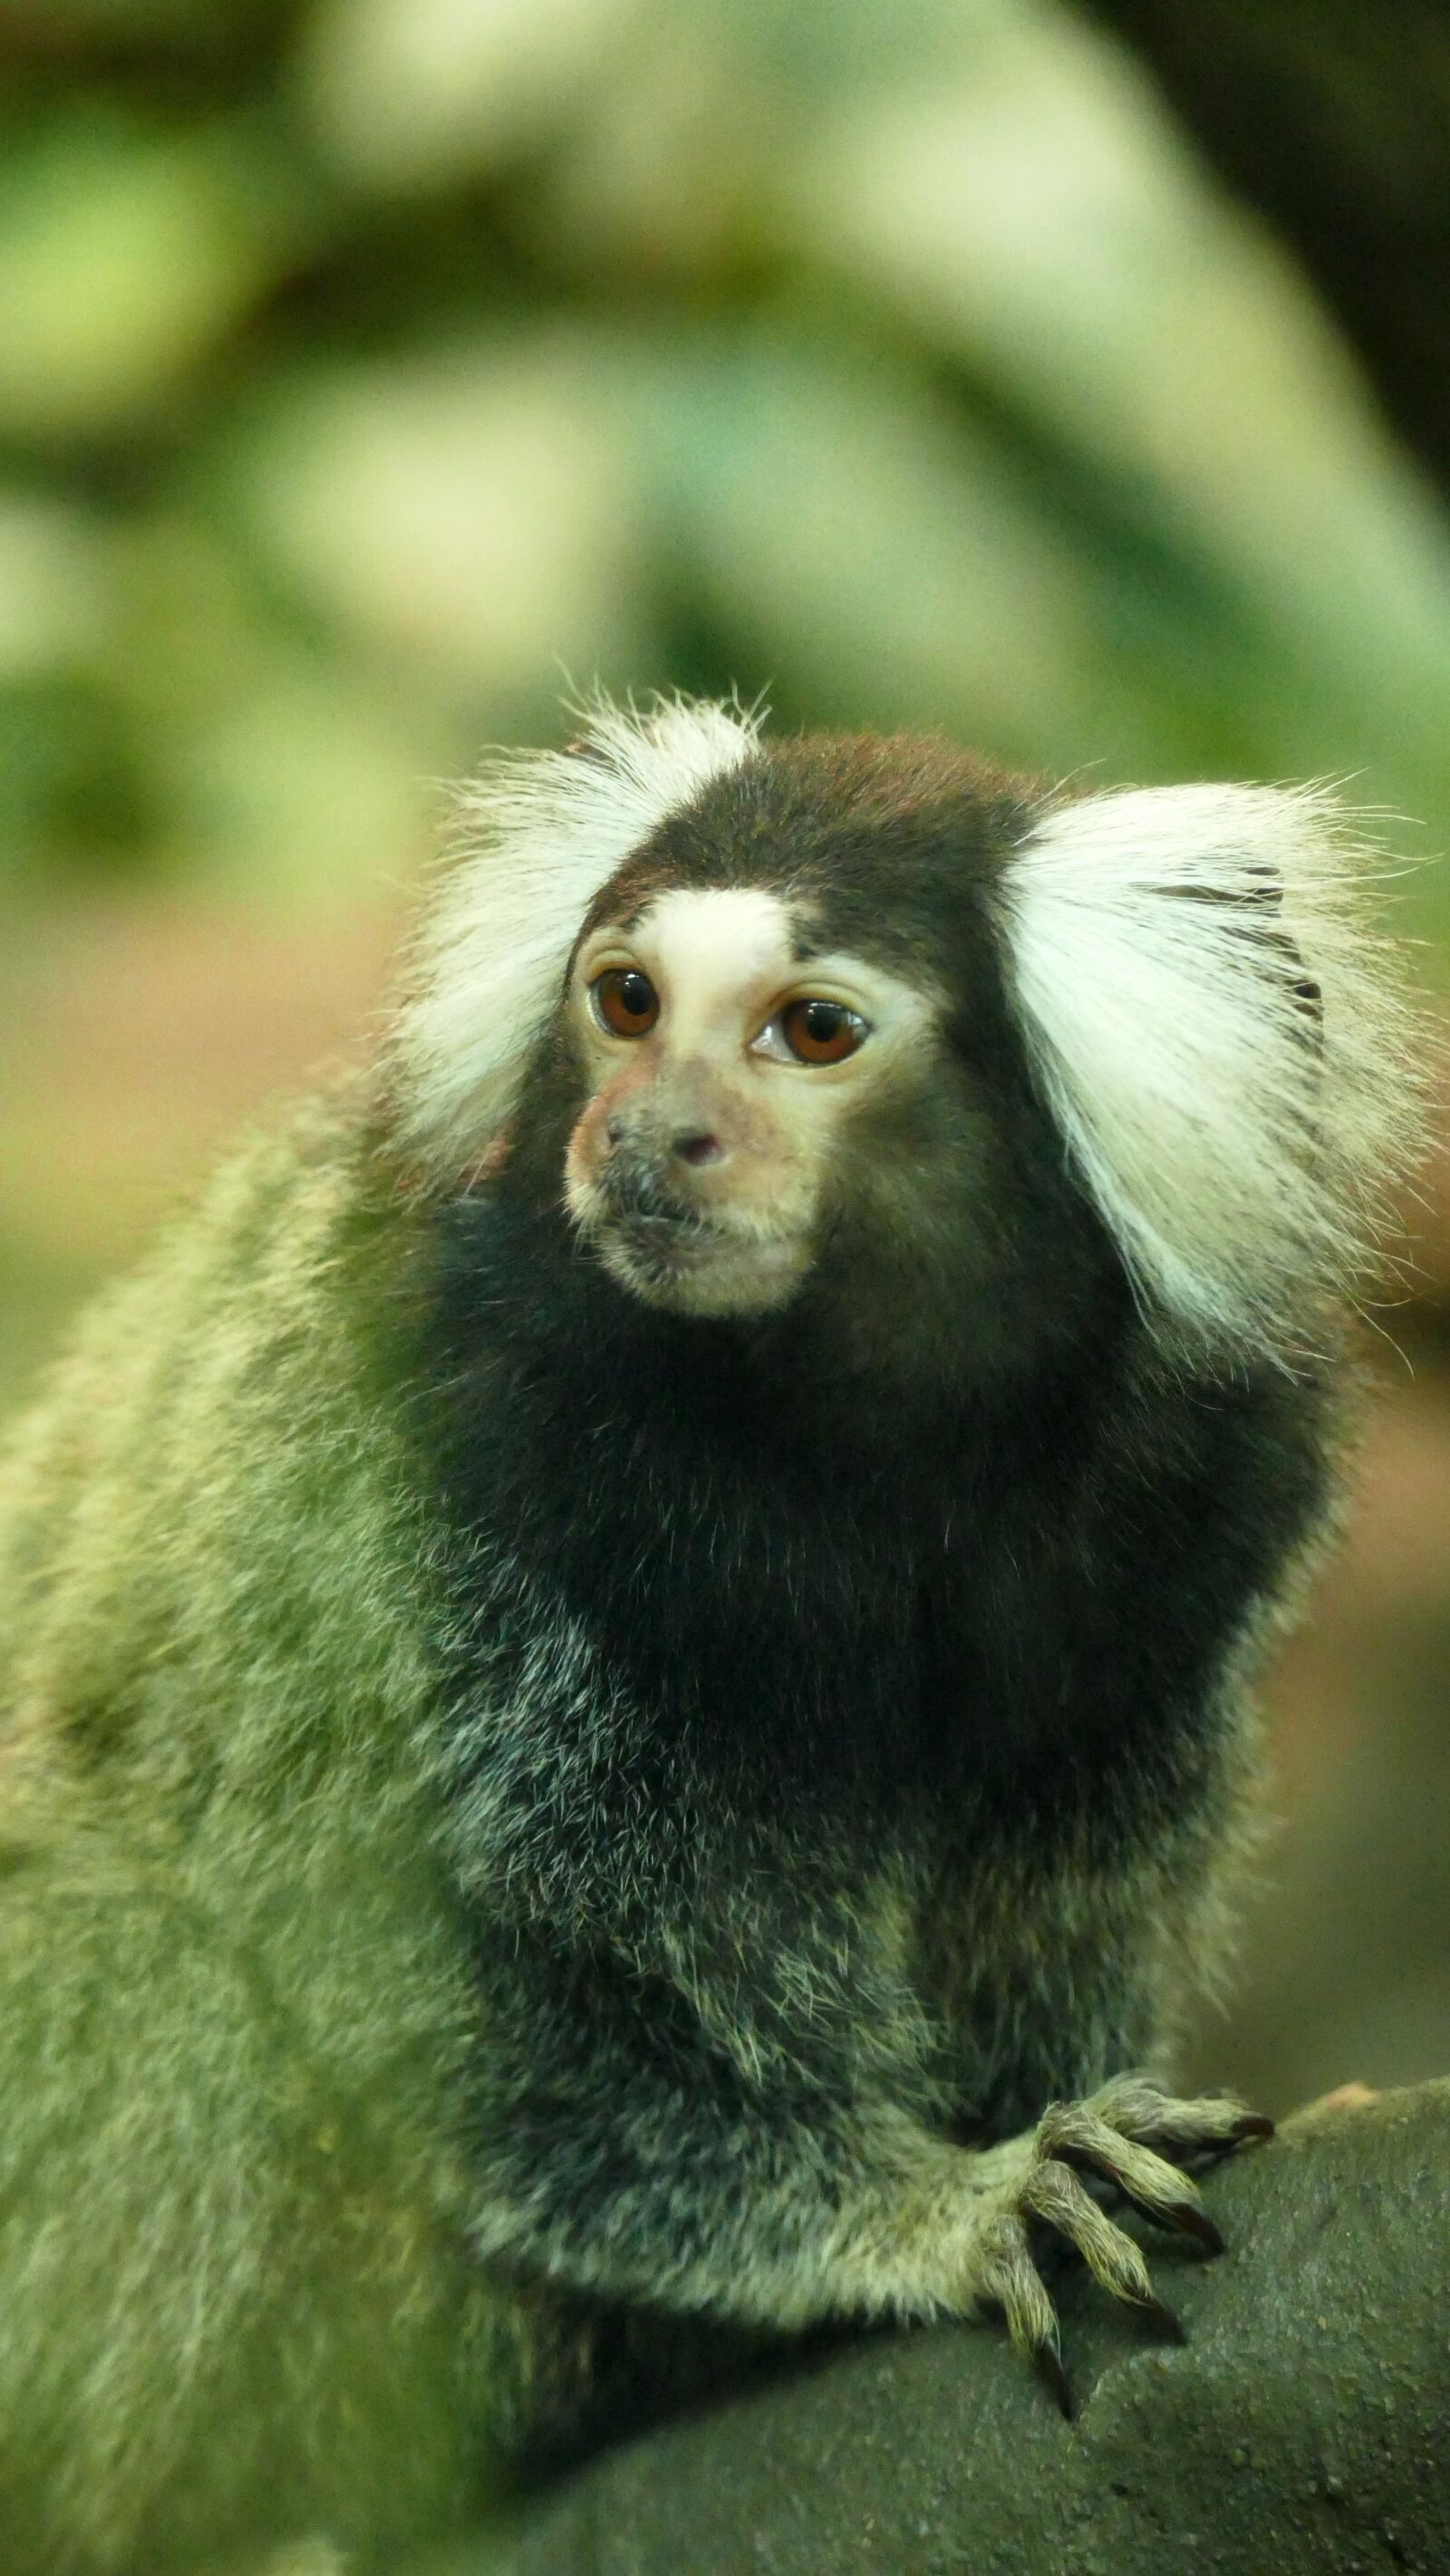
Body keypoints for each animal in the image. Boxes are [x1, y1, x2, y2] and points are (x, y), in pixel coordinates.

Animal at [0, 693, 1423, 2572]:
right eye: (626, 1001)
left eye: (812, 1029)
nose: (645, 1136)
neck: (868, 1448)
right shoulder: (409, 1455)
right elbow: (400, 1956)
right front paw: (933, 2199)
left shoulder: (1197, 1519)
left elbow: (1063, 1901)